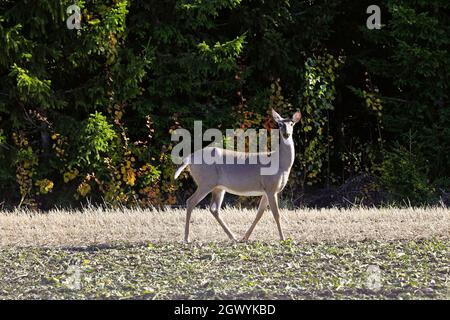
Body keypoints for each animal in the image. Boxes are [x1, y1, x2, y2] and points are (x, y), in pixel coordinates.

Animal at [174, 110, 300, 242]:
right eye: (280, 124)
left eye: (292, 123)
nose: (286, 134)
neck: (281, 164)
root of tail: (190, 158)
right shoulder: (271, 187)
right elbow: (276, 214)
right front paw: (283, 238)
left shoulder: (267, 190)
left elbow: (259, 213)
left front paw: (245, 237)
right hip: (206, 182)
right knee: (191, 202)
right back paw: (187, 238)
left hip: (218, 187)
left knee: (214, 209)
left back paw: (233, 236)